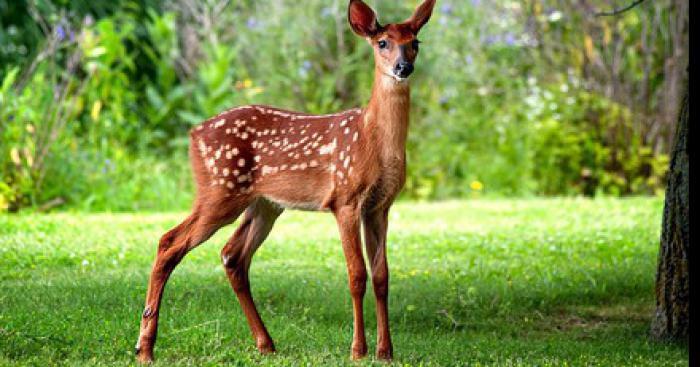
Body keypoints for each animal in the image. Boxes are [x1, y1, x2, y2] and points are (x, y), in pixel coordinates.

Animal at [134, 0, 434, 362]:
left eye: (415, 42)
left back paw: (265, 343)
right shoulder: (345, 198)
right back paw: (145, 348)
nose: (404, 67)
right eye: (383, 43)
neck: (372, 140)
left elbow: (382, 276)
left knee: (232, 255)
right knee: (169, 242)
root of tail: (192, 135)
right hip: (219, 190)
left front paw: (386, 351)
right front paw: (358, 350)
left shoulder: (380, 205)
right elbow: (356, 274)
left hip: (264, 204)